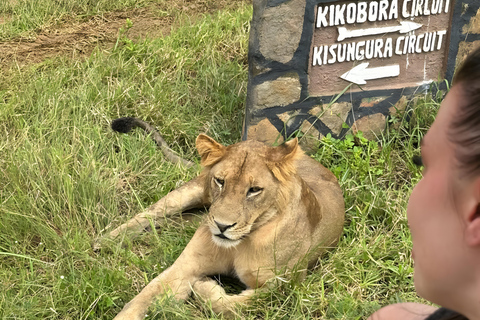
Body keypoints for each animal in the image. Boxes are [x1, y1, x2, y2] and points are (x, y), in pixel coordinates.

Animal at [102, 117, 344, 320]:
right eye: (220, 181)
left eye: (254, 190)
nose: (221, 225)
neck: (241, 243)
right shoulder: (187, 265)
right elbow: (142, 299)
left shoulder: (286, 287)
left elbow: (235, 306)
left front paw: (203, 286)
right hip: (191, 192)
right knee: (154, 211)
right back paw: (108, 241)